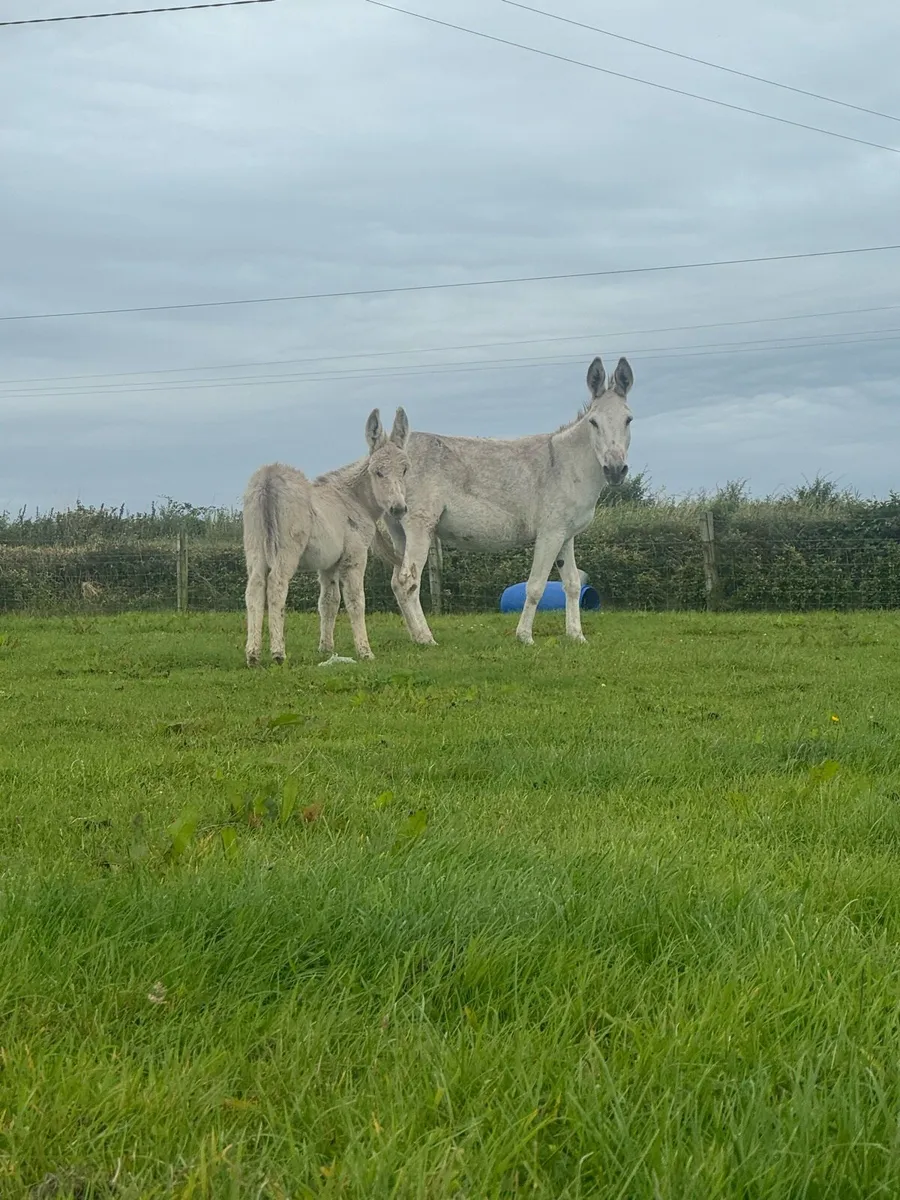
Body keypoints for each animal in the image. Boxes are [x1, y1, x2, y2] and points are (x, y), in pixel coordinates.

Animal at [243, 407, 410, 666]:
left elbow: (329, 602)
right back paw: (278, 653)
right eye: (378, 472)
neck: (354, 499)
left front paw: (326, 648)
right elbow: (355, 600)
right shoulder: (355, 556)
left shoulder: (328, 564)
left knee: (254, 588)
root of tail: (268, 476)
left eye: (404, 470)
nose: (399, 509)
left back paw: (253, 655)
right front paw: (365, 651)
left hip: (254, 547)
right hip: (286, 549)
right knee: (276, 586)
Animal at [374, 355, 633, 645]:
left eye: (628, 420)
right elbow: (536, 586)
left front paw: (577, 636)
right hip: (419, 529)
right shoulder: (550, 534)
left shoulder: (566, 536)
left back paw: (414, 636)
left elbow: (573, 585)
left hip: (399, 532)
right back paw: (425, 638)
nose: (615, 470)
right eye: (594, 422)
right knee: (408, 581)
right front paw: (525, 637)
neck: (566, 465)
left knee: (397, 583)